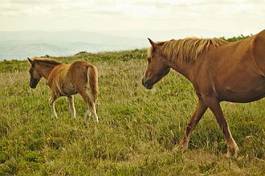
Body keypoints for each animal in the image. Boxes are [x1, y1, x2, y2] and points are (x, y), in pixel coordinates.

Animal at [142, 29, 265, 157]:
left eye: (149, 59)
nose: (144, 81)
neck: (198, 62)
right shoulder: (203, 100)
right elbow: (191, 123)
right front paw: (181, 148)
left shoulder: (210, 99)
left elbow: (222, 124)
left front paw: (231, 151)